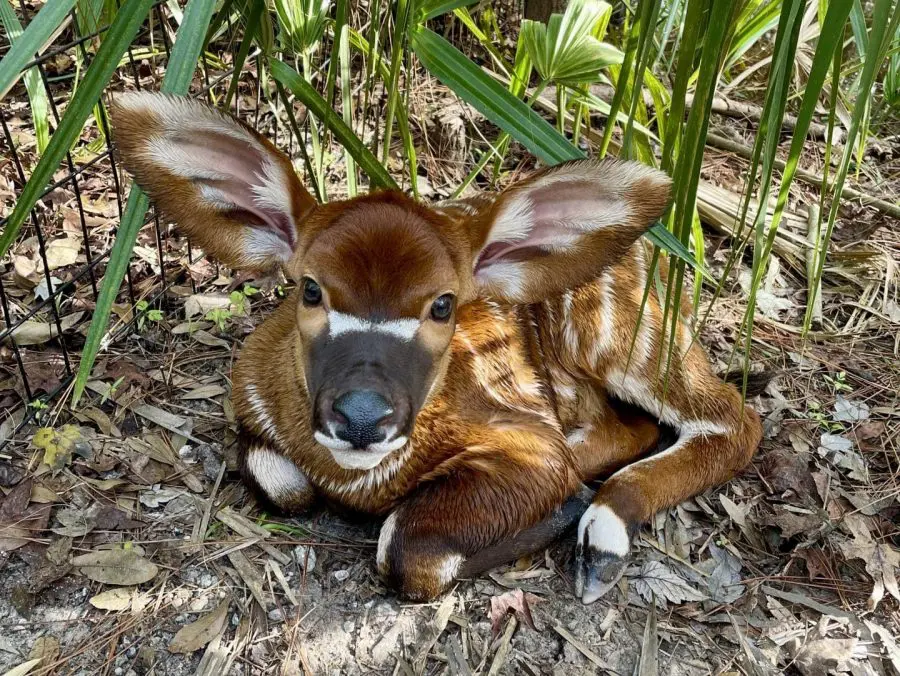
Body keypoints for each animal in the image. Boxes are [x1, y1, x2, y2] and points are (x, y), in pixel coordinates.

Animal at [110, 92, 760, 604]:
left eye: (443, 304)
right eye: (310, 288)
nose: (362, 418)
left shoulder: (525, 440)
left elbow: (405, 551)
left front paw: (561, 508)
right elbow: (283, 485)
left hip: (623, 339)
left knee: (733, 418)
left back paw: (600, 540)